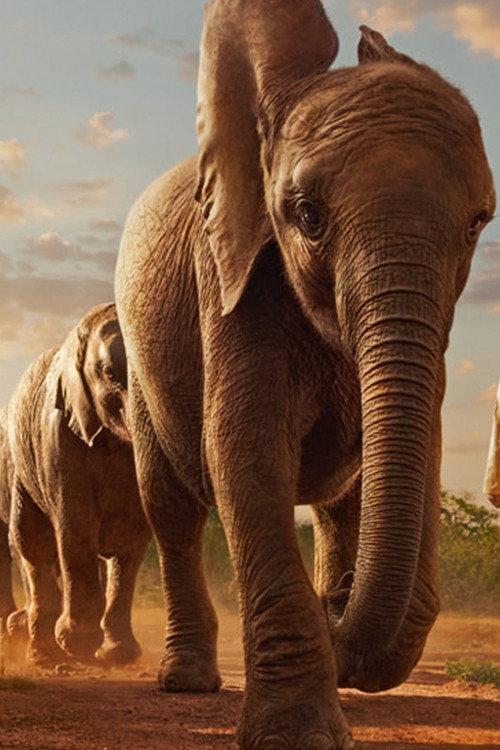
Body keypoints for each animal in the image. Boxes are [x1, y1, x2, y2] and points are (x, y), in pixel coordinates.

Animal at [7, 302, 150, 667]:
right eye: (111, 374)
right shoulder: (57, 432)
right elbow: (75, 524)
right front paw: (78, 644)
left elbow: (133, 537)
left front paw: (118, 656)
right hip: (21, 469)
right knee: (32, 544)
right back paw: (44, 655)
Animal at [115, 1, 495, 748]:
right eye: (308, 217)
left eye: (478, 222)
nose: (339, 603)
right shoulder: (227, 273)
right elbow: (245, 449)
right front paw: (296, 733)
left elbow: (423, 448)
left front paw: (341, 630)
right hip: (141, 366)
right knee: (171, 508)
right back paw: (190, 681)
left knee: (340, 499)